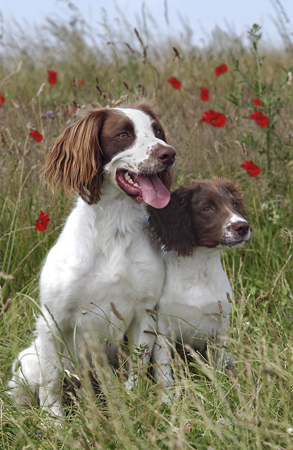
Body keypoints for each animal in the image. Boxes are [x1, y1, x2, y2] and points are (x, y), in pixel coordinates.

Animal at [8, 101, 175, 414]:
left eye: (158, 131)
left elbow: (137, 369)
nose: (169, 154)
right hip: (30, 358)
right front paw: (53, 420)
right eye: (123, 134)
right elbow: (51, 383)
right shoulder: (53, 318)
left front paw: (133, 405)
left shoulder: (144, 312)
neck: (115, 228)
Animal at [147, 178, 250, 398]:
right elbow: (164, 371)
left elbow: (219, 364)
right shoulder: (163, 329)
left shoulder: (219, 326)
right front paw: (168, 400)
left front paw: (223, 390)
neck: (199, 269)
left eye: (234, 204)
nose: (243, 226)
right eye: (207, 208)